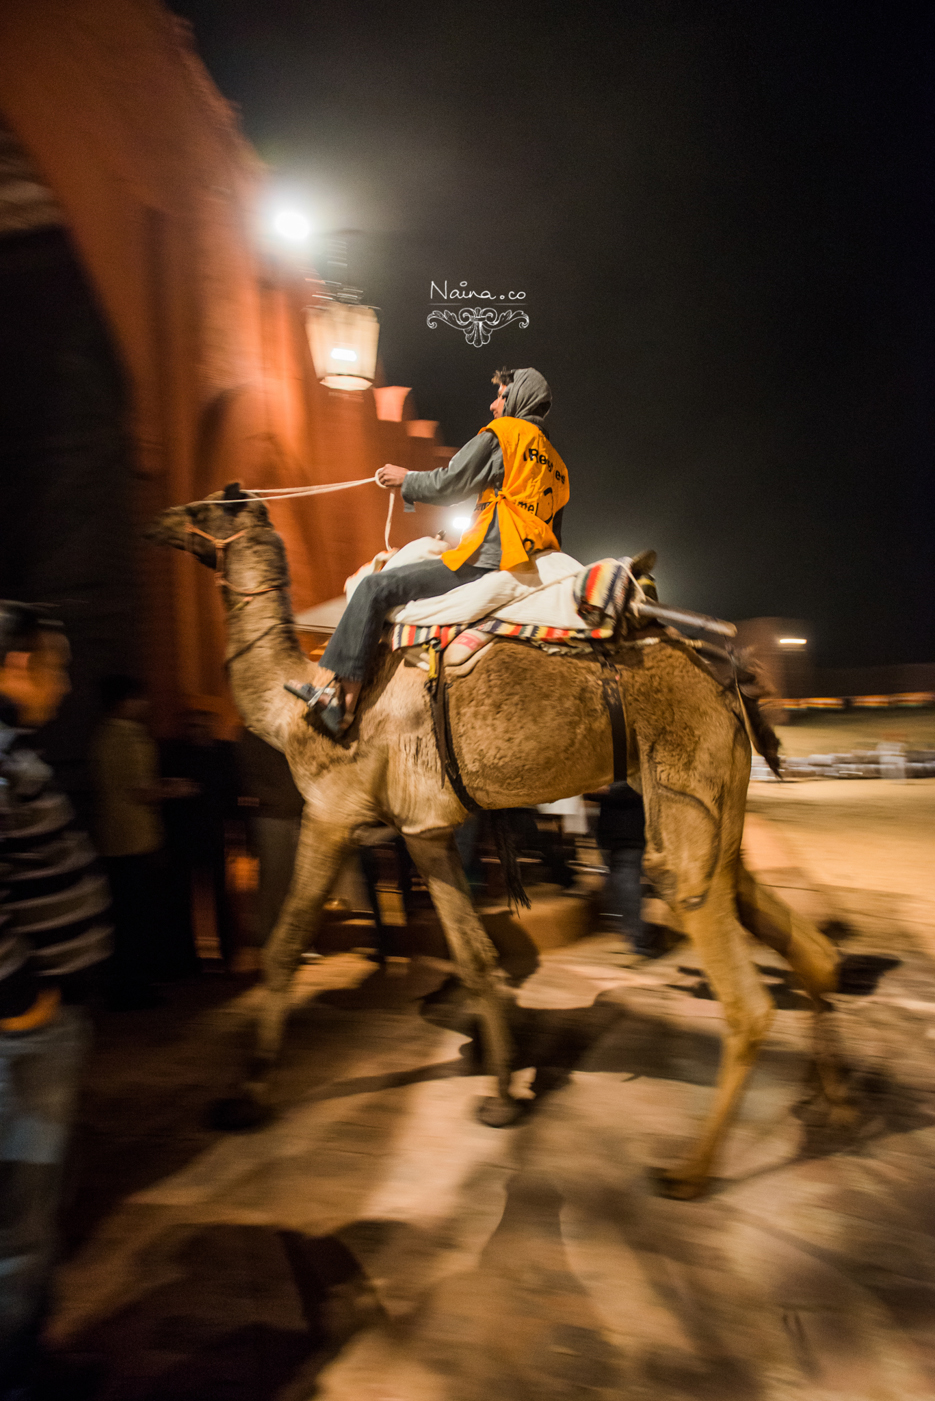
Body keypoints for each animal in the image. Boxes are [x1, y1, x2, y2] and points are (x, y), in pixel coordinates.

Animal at [144, 487, 846, 1199]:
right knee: (802, 942)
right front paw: (503, 1097)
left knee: (737, 983)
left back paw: (688, 1171)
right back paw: (831, 1108)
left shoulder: (332, 811)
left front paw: (244, 1099)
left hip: (685, 788)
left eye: (213, 506)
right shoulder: (425, 830)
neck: (291, 710)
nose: (161, 520)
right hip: (722, 806)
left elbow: (284, 949)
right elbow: (476, 957)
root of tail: (728, 678)